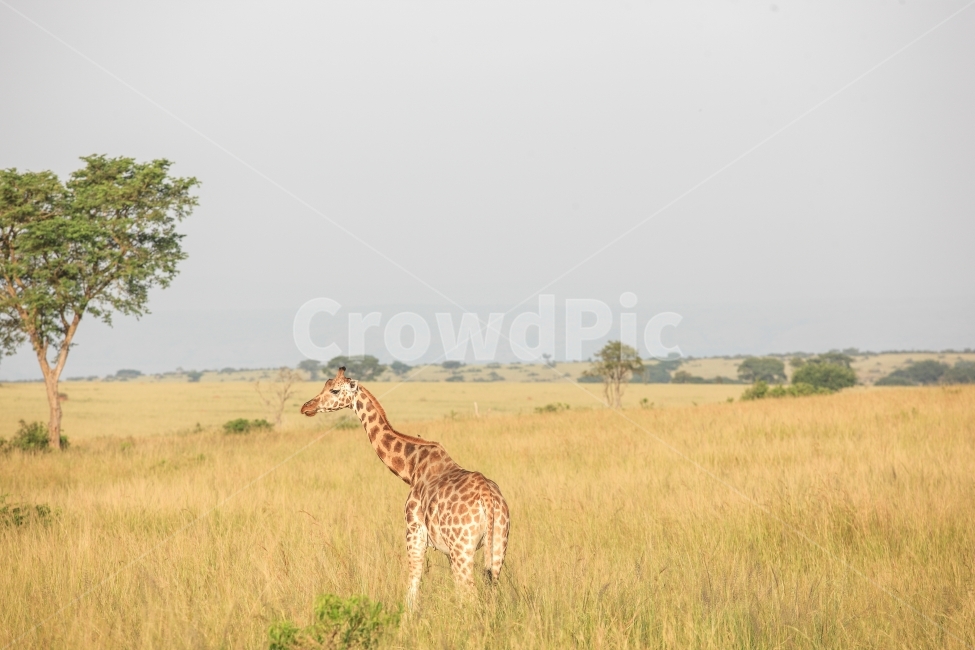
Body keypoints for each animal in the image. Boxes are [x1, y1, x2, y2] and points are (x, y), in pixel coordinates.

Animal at [300, 366, 510, 610]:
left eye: (334, 390)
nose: (306, 407)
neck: (411, 468)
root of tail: (487, 497)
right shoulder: (447, 549)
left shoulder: (414, 533)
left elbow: (413, 587)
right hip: (497, 545)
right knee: (489, 588)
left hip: (462, 546)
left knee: (470, 593)